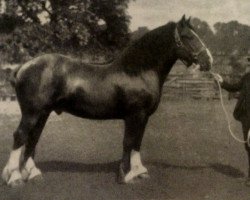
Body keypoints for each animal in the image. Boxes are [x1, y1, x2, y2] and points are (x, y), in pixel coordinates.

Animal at [2, 14, 213, 187]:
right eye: (188, 37)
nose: (208, 61)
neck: (137, 71)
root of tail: (23, 67)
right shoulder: (135, 115)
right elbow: (128, 142)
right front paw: (125, 175)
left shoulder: (143, 117)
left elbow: (137, 142)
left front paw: (139, 172)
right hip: (32, 112)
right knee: (20, 136)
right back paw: (14, 177)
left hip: (43, 113)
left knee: (33, 138)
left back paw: (33, 173)